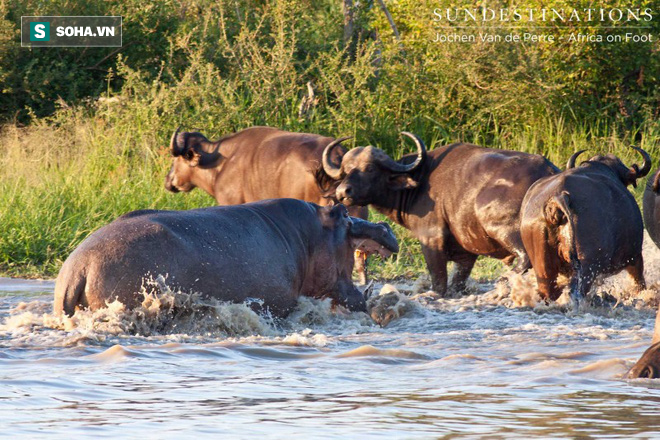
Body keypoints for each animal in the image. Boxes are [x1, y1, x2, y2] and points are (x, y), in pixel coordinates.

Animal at [320, 131, 556, 296]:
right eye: (345, 170)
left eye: (369, 168)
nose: (343, 192)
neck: (419, 181)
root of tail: (548, 173)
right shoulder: (465, 253)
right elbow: (457, 281)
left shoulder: (431, 239)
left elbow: (438, 279)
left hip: (502, 227)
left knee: (525, 258)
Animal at [520, 148, 648, 302]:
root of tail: (559, 197)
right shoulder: (635, 256)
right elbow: (639, 283)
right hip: (587, 266)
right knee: (575, 291)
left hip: (543, 266)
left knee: (547, 291)